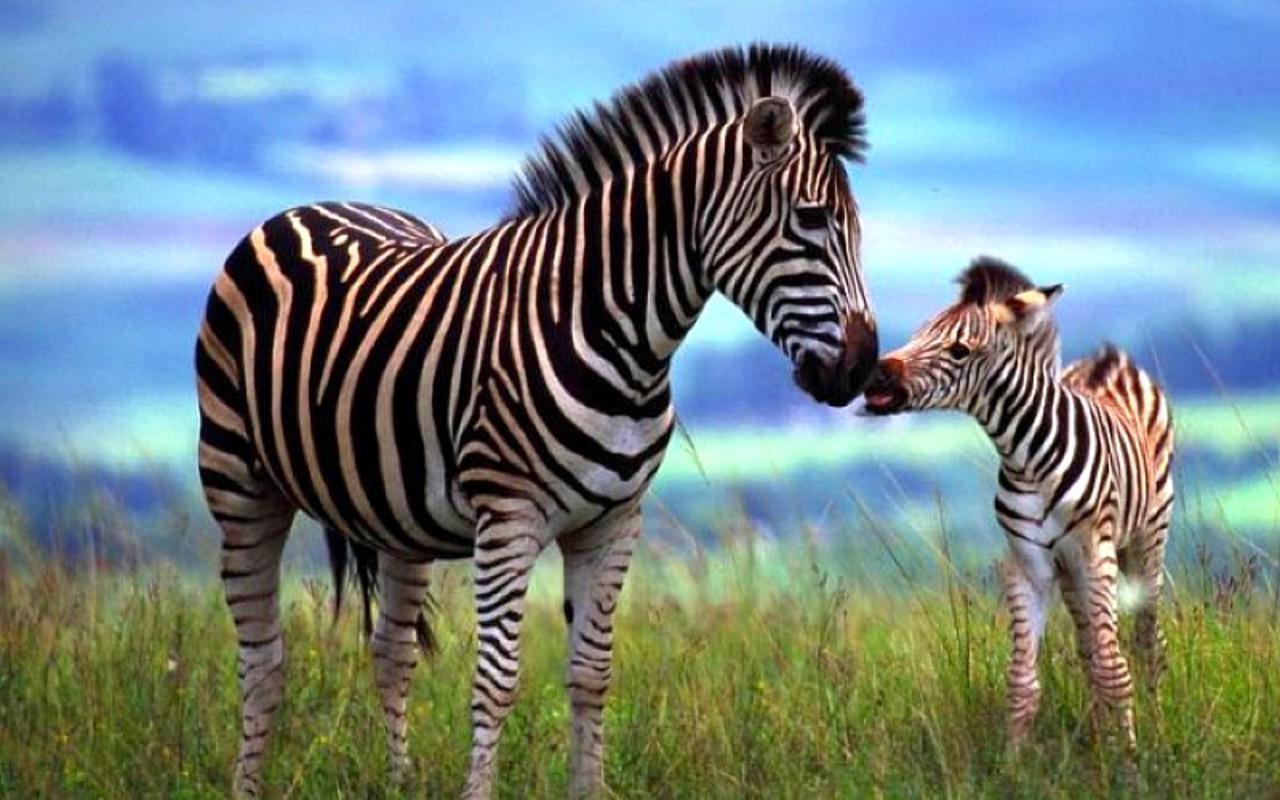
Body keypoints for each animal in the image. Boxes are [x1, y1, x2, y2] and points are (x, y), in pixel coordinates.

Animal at [196, 44, 879, 799]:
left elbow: (591, 674)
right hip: (238, 480)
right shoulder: (509, 517)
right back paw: (247, 784)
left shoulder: (614, 521)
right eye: (812, 219)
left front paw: (589, 789)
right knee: (263, 660)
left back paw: (399, 782)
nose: (861, 369)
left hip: (396, 514)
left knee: (391, 651)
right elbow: (497, 682)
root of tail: (309, 205)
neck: (616, 334)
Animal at [862, 256, 1173, 751]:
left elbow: (1114, 670)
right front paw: (1013, 760)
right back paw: (1096, 731)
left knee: (1147, 639)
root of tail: (1111, 359)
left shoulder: (1094, 553)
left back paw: (1153, 722)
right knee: (1088, 644)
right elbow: (1023, 680)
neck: (1028, 459)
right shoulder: (1030, 564)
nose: (875, 375)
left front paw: (1129, 757)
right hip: (1071, 570)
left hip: (1147, 538)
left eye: (959, 351)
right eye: (919, 332)